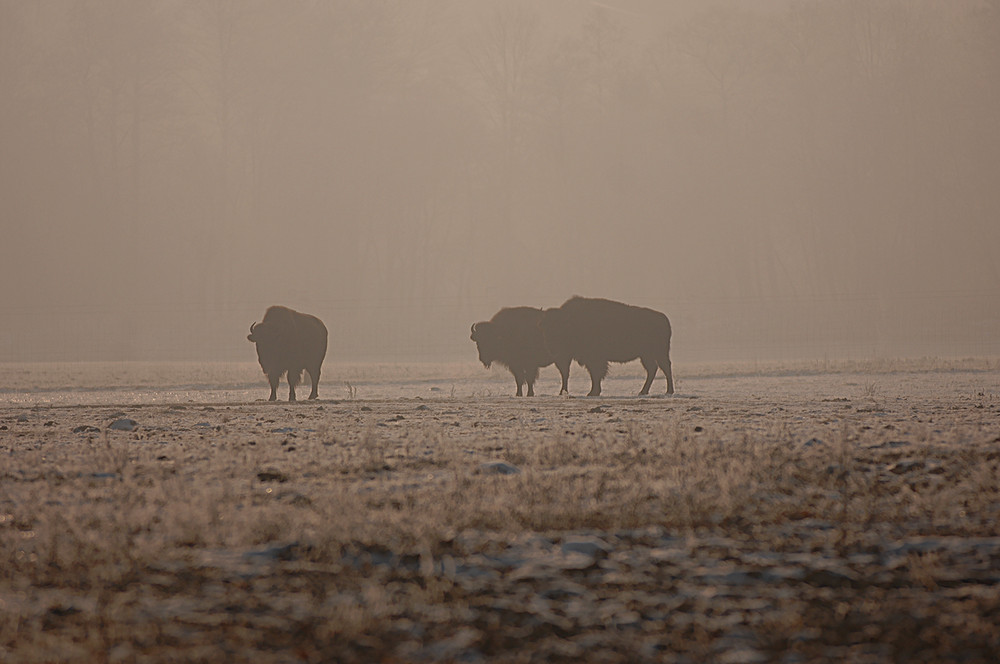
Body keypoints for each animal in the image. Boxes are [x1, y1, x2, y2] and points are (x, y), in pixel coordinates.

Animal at [540, 296, 672, 400]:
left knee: (665, 367)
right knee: (652, 369)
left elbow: (596, 374)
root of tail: (664, 319)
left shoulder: (594, 359)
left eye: (559, 329)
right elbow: (588, 374)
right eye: (545, 329)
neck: (570, 321)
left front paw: (593, 392)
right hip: (646, 355)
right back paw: (643, 392)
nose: (552, 348)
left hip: (658, 353)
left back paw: (669, 391)